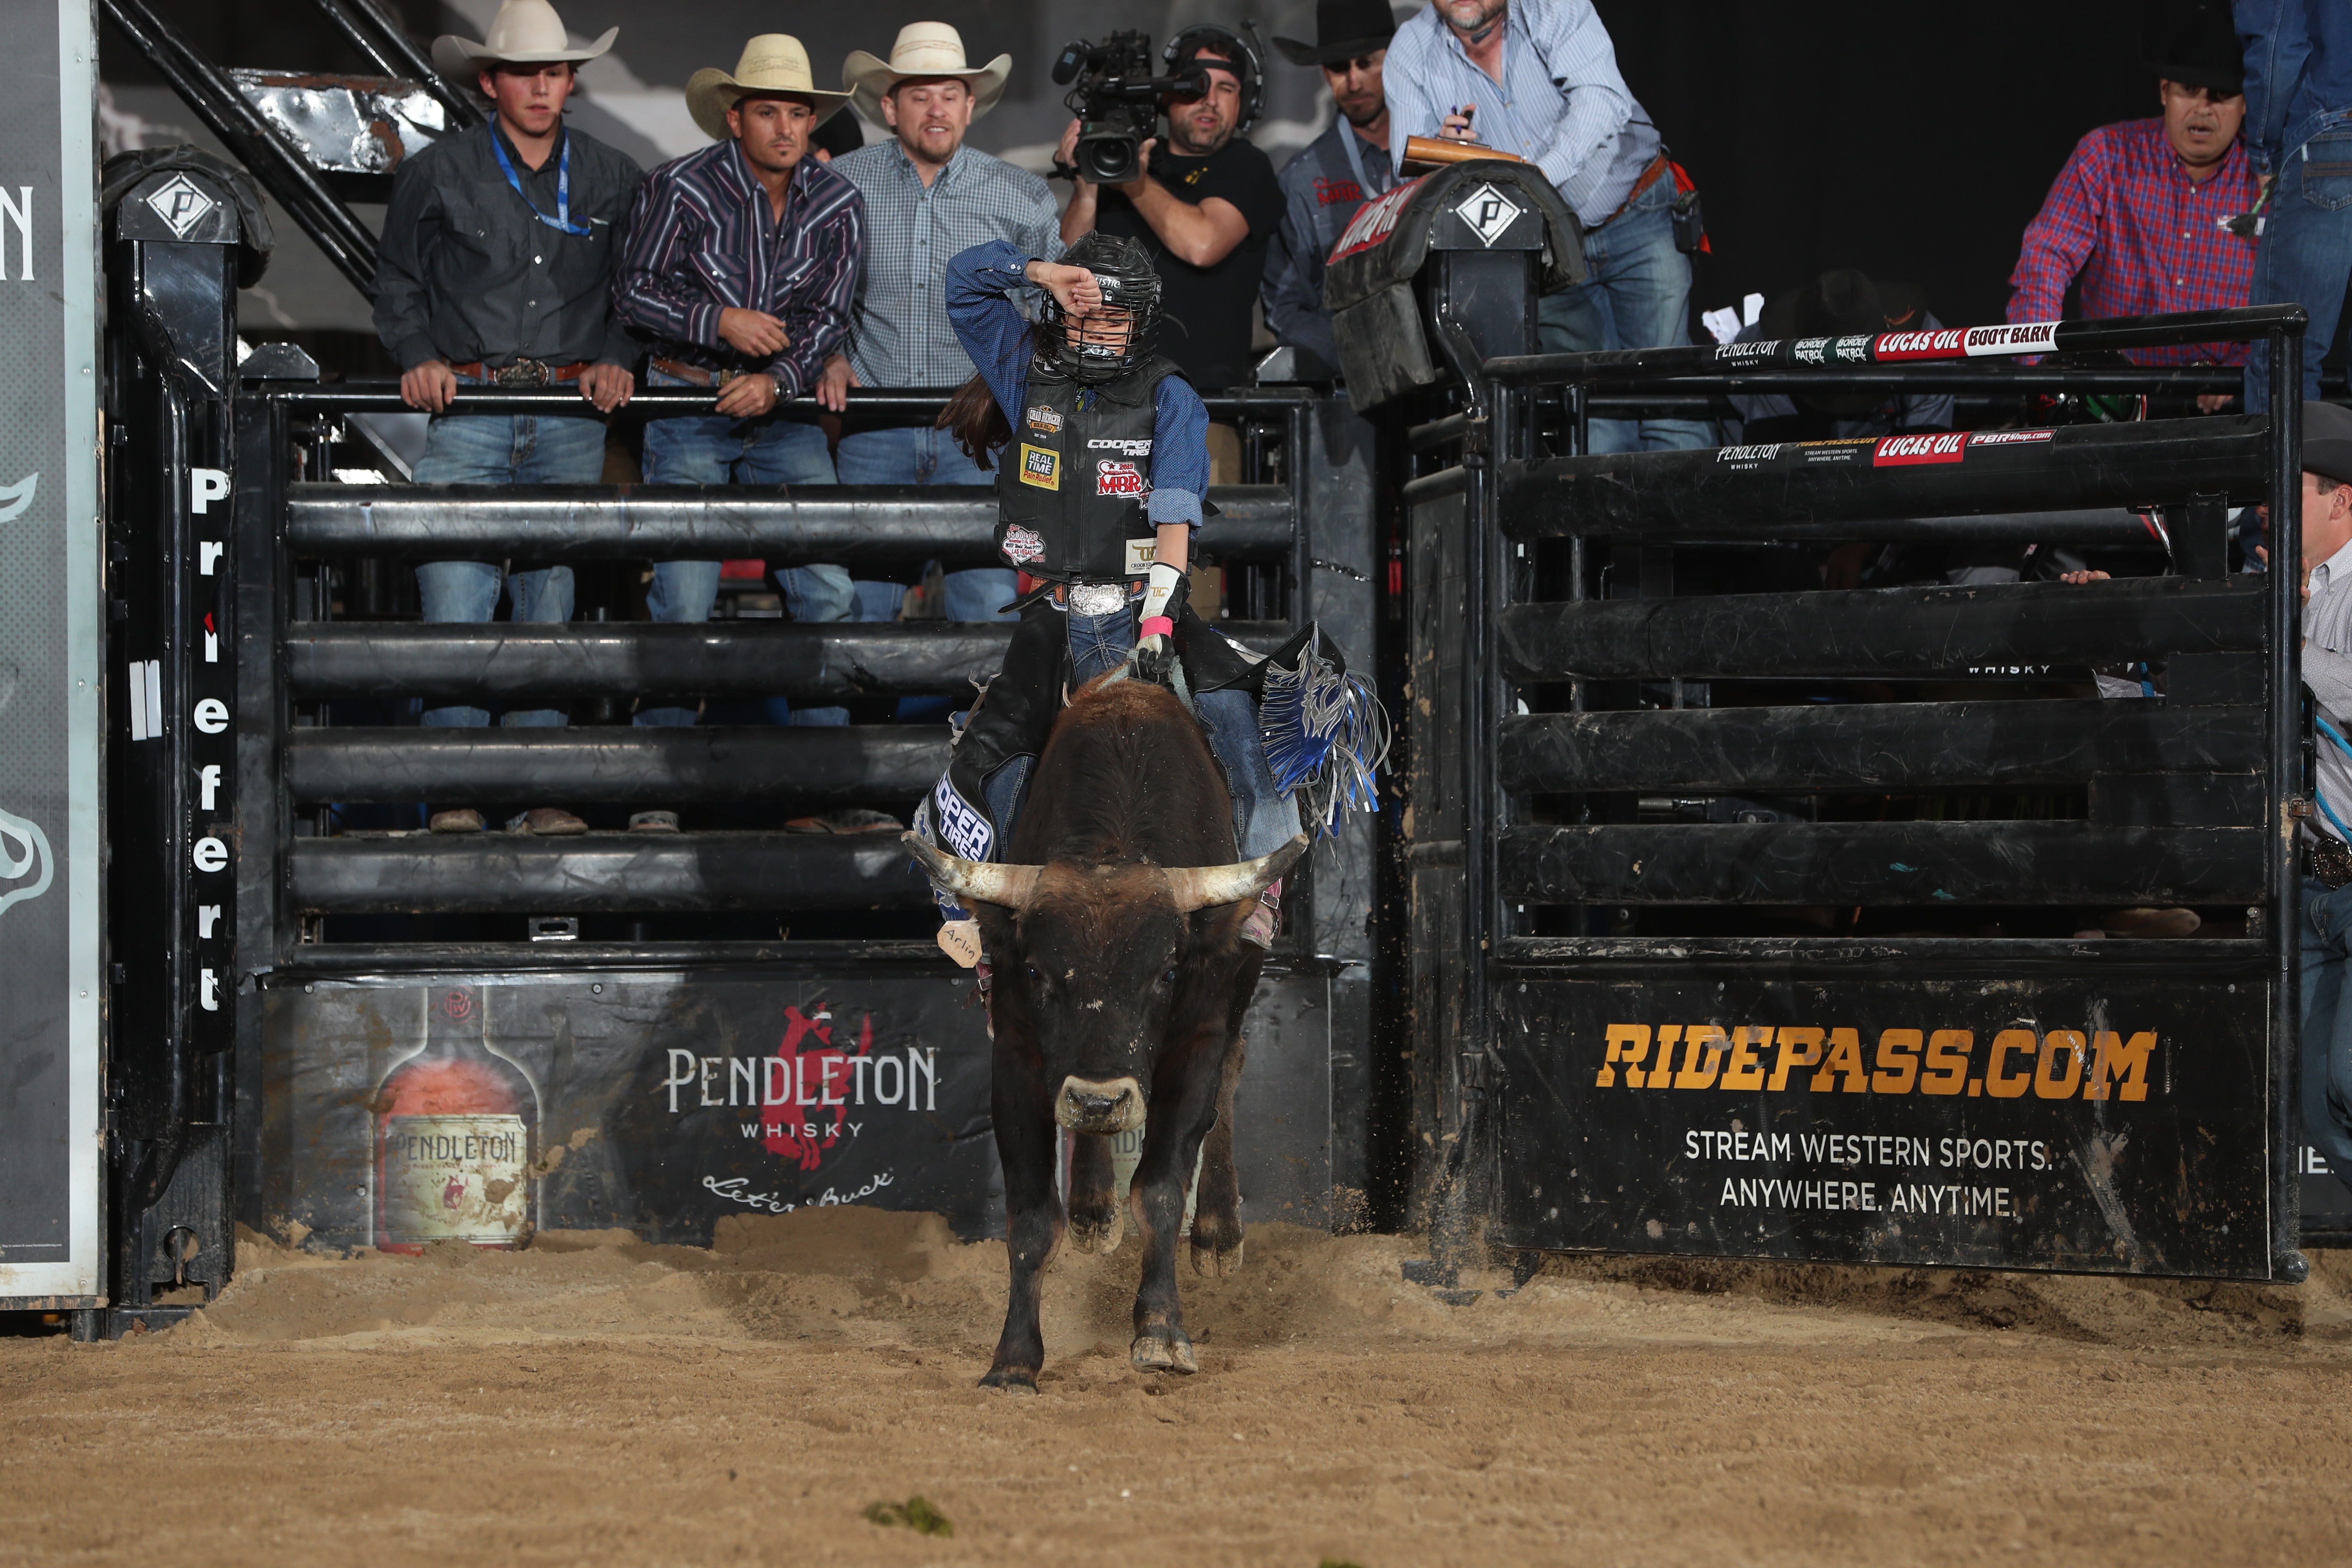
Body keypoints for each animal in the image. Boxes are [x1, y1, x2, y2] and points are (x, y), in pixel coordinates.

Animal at [903, 677, 1308, 1382]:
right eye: (1036, 971)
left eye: (1166, 973)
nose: (1100, 1097)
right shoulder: (1017, 1056)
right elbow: (1032, 1219)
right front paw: (1015, 1358)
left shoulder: (1196, 1040)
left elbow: (1162, 1189)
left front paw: (1162, 1331)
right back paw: (1094, 1204)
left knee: (1233, 1070)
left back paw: (1217, 1232)